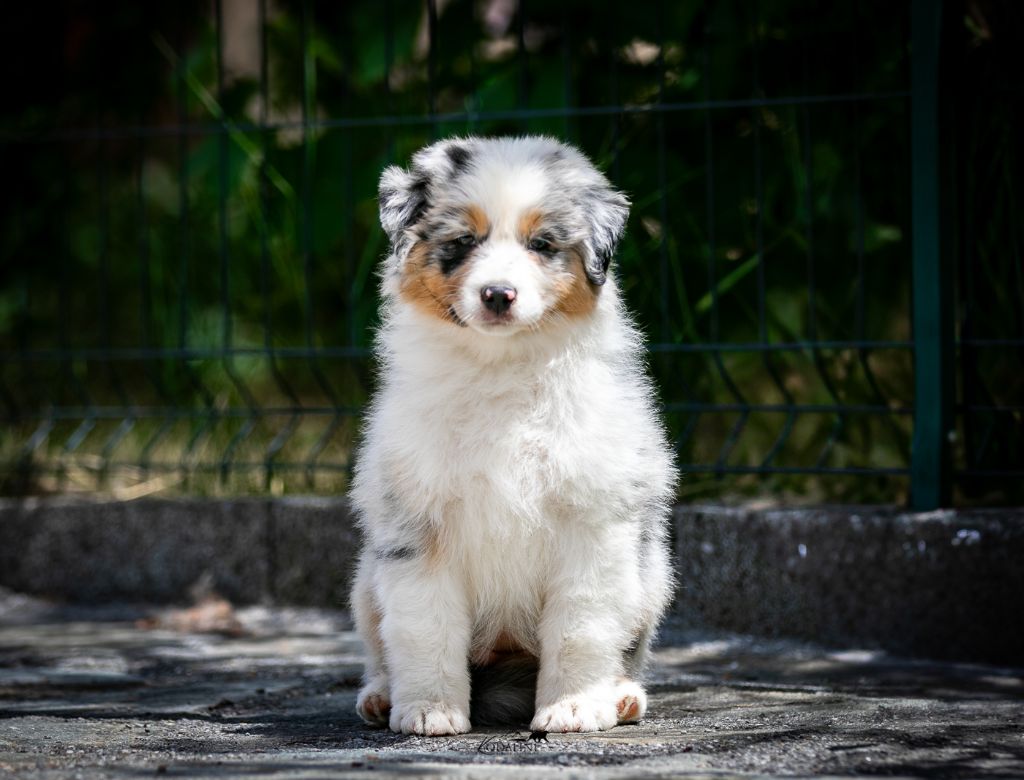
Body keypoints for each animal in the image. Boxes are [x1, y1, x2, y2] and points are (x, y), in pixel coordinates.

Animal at [349, 136, 676, 736]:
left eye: (541, 244)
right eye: (463, 242)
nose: (498, 294)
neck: (500, 368)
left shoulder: (593, 520)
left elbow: (581, 624)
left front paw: (573, 707)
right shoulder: (416, 523)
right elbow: (424, 626)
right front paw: (430, 710)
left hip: (653, 577)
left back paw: (622, 696)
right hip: (365, 582)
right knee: (381, 646)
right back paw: (381, 696)